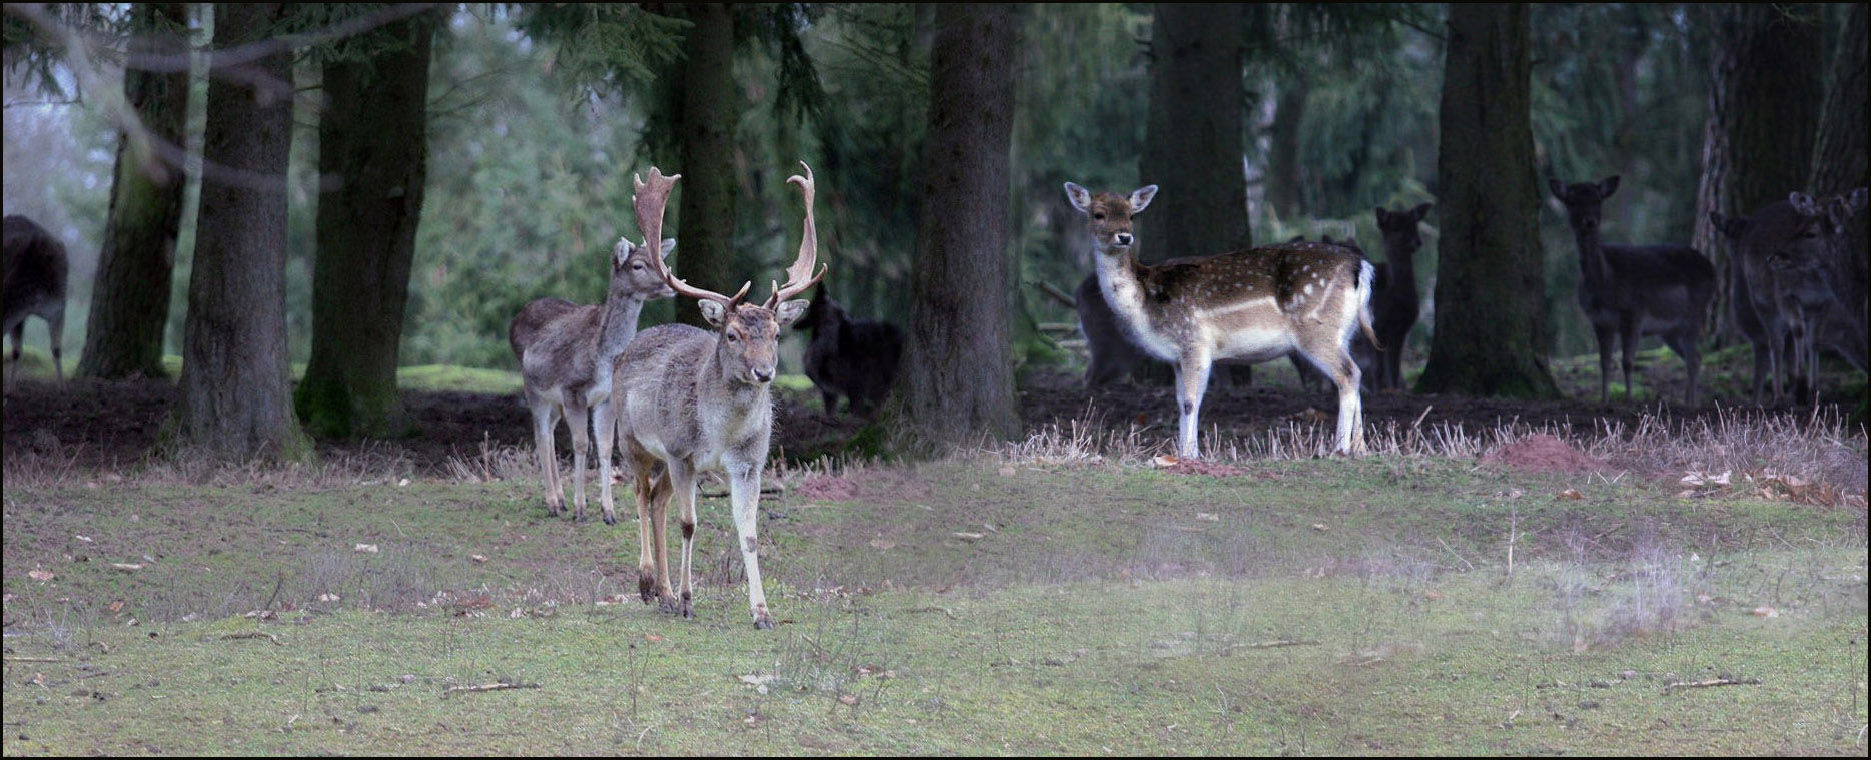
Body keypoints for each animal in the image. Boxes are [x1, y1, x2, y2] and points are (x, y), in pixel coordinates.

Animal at [505, 170, 681, 524]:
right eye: (638, 265)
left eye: (660, 259)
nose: (668, 283)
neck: (602, 358)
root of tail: (515, 319)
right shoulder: (573, 389)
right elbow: (581, 444)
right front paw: (581, 509)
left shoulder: (606, 396)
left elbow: (604, 446)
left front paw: (608, 511)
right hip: (534, 387)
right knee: (541, 435)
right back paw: (554, 502)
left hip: (553, 400)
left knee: (549, 433)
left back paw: (559, 499)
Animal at [609, 160, 823, 628]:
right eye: (731, 334)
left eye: (777, 333)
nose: (764, 372)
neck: (719, 435)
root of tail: (629, 345)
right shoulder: (680, 451)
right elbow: (690, 525)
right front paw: (690, 600)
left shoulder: (749, 462)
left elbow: (750, 534)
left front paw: (761, 612)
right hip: (632, 438)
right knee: (639, 494)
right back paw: (648, 584)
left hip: (666, 461)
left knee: (657, 500)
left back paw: (665, 593)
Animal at [1070, 180, 1377, 460]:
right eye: (1098, 214)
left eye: (1131, 215)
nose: (1124, 237)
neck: (1145, 301)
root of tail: (1361, 266)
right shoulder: (1177, 356)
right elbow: (1181, 401)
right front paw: (1185, 452)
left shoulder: (1194, 341)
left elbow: (1192, 401)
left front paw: (1188, 455)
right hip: (1345, 332)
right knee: (1357, 375)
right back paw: (1362, 448)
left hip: (1317, 329)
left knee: (1348, 374)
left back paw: (1340, 448)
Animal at [1549, 175, 1713, 406]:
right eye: (1571, 201)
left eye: (1598, 199)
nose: (1590, 221)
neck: (1606, 282)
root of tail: (1712, 268)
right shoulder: (1599, 321)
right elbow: (1604, 362)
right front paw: (1605, 401)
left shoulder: (1634, 313)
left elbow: (1627, 361)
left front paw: (1628, 400)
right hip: (1670, 329)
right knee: (1693, 357)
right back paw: (1687, 401)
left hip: (1695, 313)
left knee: (1694, 358)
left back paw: (1691, 404)